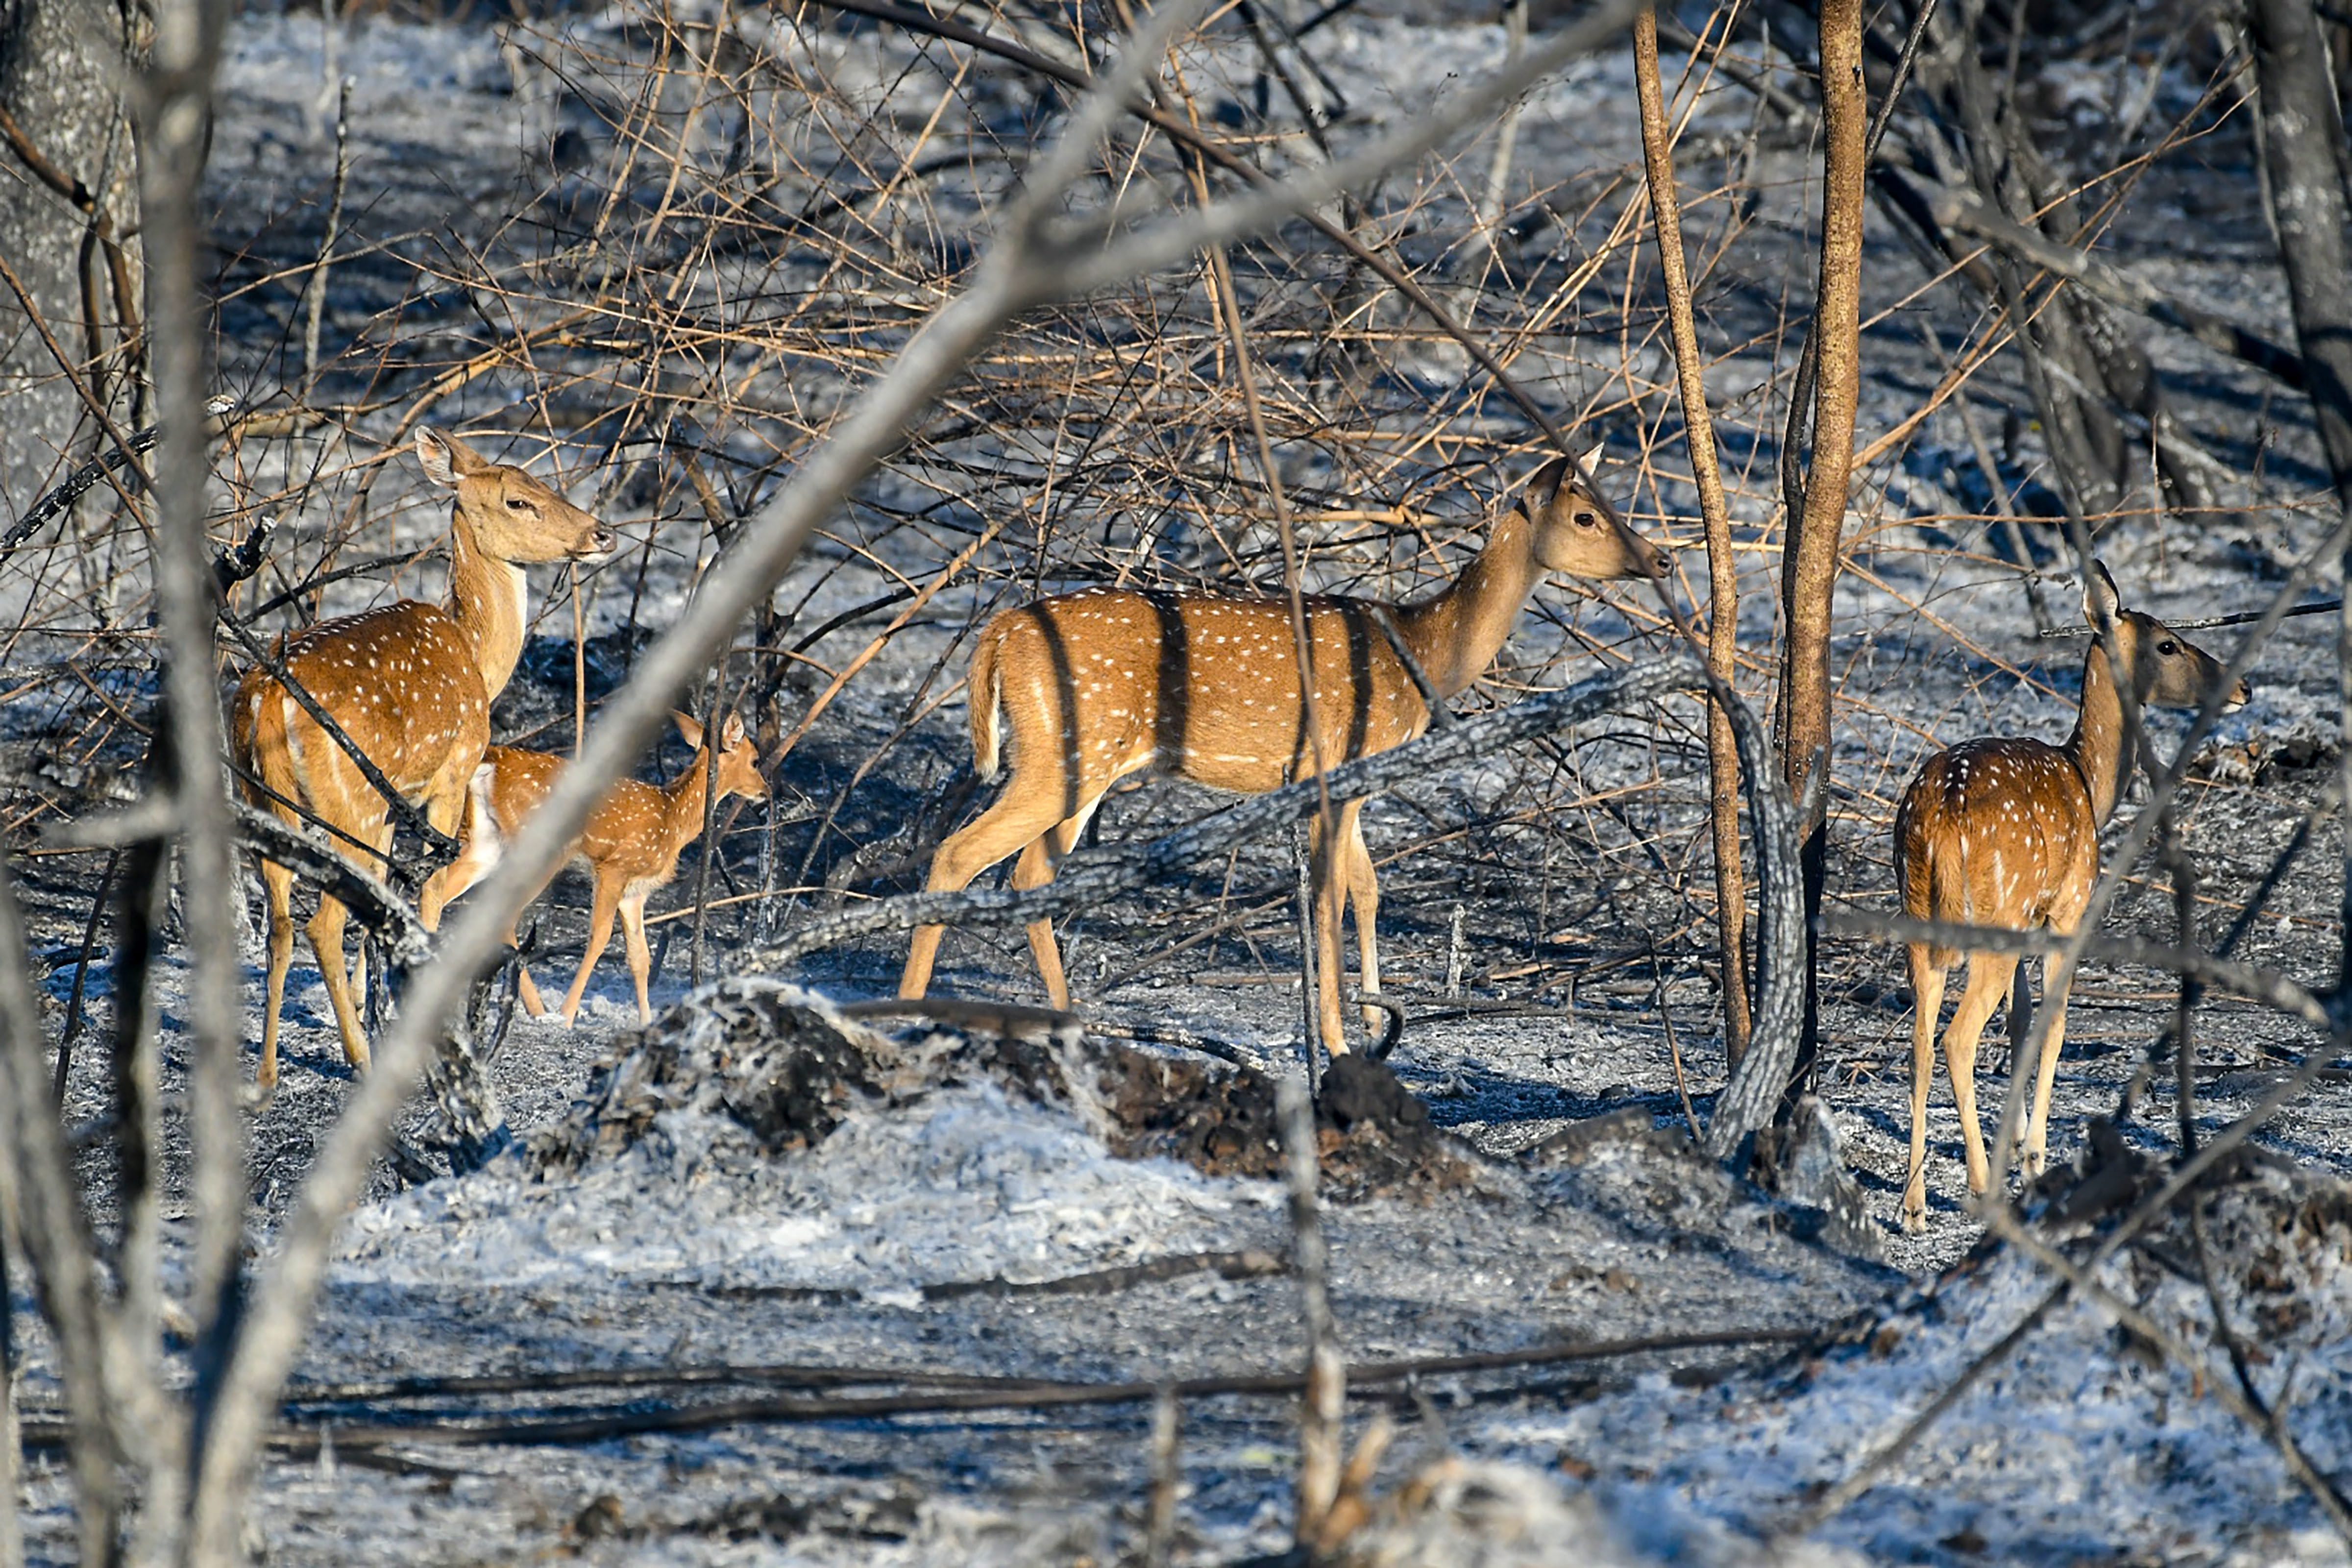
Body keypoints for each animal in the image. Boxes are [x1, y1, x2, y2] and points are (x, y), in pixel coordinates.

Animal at [231, 426, 615, 1089]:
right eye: (519, 500)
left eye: (545, 482)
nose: (602, 533)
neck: (479, 659)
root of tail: (270, 698)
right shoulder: (451, 773)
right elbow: (428, 894)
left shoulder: (394, 804)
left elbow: (382, 899)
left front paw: (374, 1003)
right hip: (349, 801)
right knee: (319, 925)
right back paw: (359, 1059)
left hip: (273, 802)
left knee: (281, 924)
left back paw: (268, 1071)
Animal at [439, 711, 769, 1025]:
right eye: (755, 760)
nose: (766, 792)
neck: (674, 818)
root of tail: (494, 760)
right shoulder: (616, 867)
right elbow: (600, 937)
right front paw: (568, 1014)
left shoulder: (635, 892)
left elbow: (640, 957)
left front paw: (645, 1020)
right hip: (538, 848)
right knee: (502, 917)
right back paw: (540, 1010)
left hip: (488, 843)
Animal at [898, 447, 1671, 1056]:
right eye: (1585, 516)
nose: (1661, 556)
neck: (1424, 651)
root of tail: (999, 633)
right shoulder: (1337, 765)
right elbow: (1329, 894)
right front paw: (1335, 1038)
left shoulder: (1354, 778)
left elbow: (1368, 886)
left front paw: (1375, 1023)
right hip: (1067, 751)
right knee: (961, 855)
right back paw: (908, 1010)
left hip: (1076, 762)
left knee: (1028, 874)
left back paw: (1067, 1019)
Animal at [1894, 562, 2248, 1233]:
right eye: (2168, 644)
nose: (2240, 685)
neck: (2089, 784)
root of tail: (1942, 815)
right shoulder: (2066, 906)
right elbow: (2053, 1019)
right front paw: (2031, 1157)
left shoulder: (2034, 915)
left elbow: (2021, 1020)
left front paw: (2016, 1147)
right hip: (1995, 916)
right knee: (1956, 1037)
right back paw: (1979, 1186)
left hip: (1921, 912)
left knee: (1921, 1038)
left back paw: (1914, 1204)